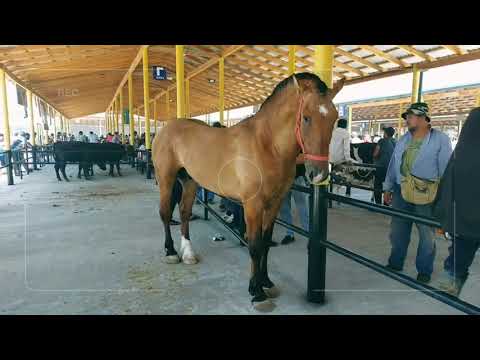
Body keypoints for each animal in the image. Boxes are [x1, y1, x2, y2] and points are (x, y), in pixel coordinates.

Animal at [152, 71, 344, 310]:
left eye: (334, 118)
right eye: (306, 117)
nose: (319, 174)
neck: (267, 145)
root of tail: (165, 129)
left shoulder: (275, 203)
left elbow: (266, 242)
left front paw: (266, 282)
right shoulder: (253, 205)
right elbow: (254, 245)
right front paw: (256, 292)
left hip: (189, 181)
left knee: (185, 213)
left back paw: (188, 253)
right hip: (166, 179)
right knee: (165, 213)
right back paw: (170, 252)